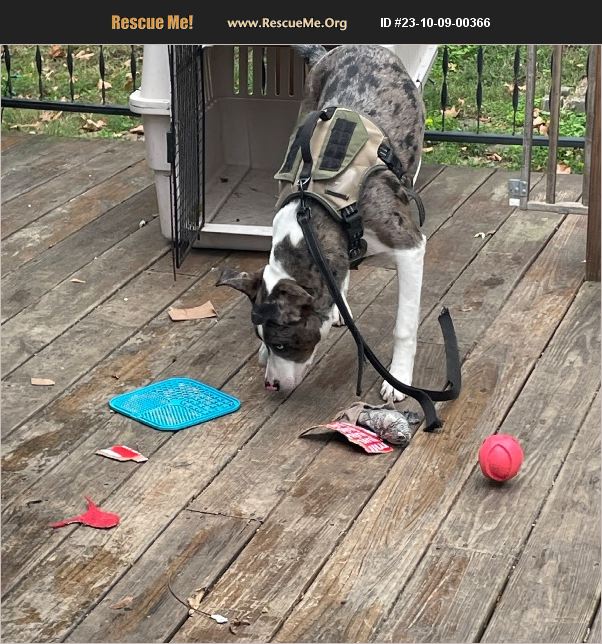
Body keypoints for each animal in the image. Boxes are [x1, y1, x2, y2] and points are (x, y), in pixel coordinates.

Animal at [217, 44, 426, 401]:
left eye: (282, 344)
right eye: (263, 340)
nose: (270, 385)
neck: (316, 207)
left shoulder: (409, 245)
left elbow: (404, 326)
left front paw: (398, 378)